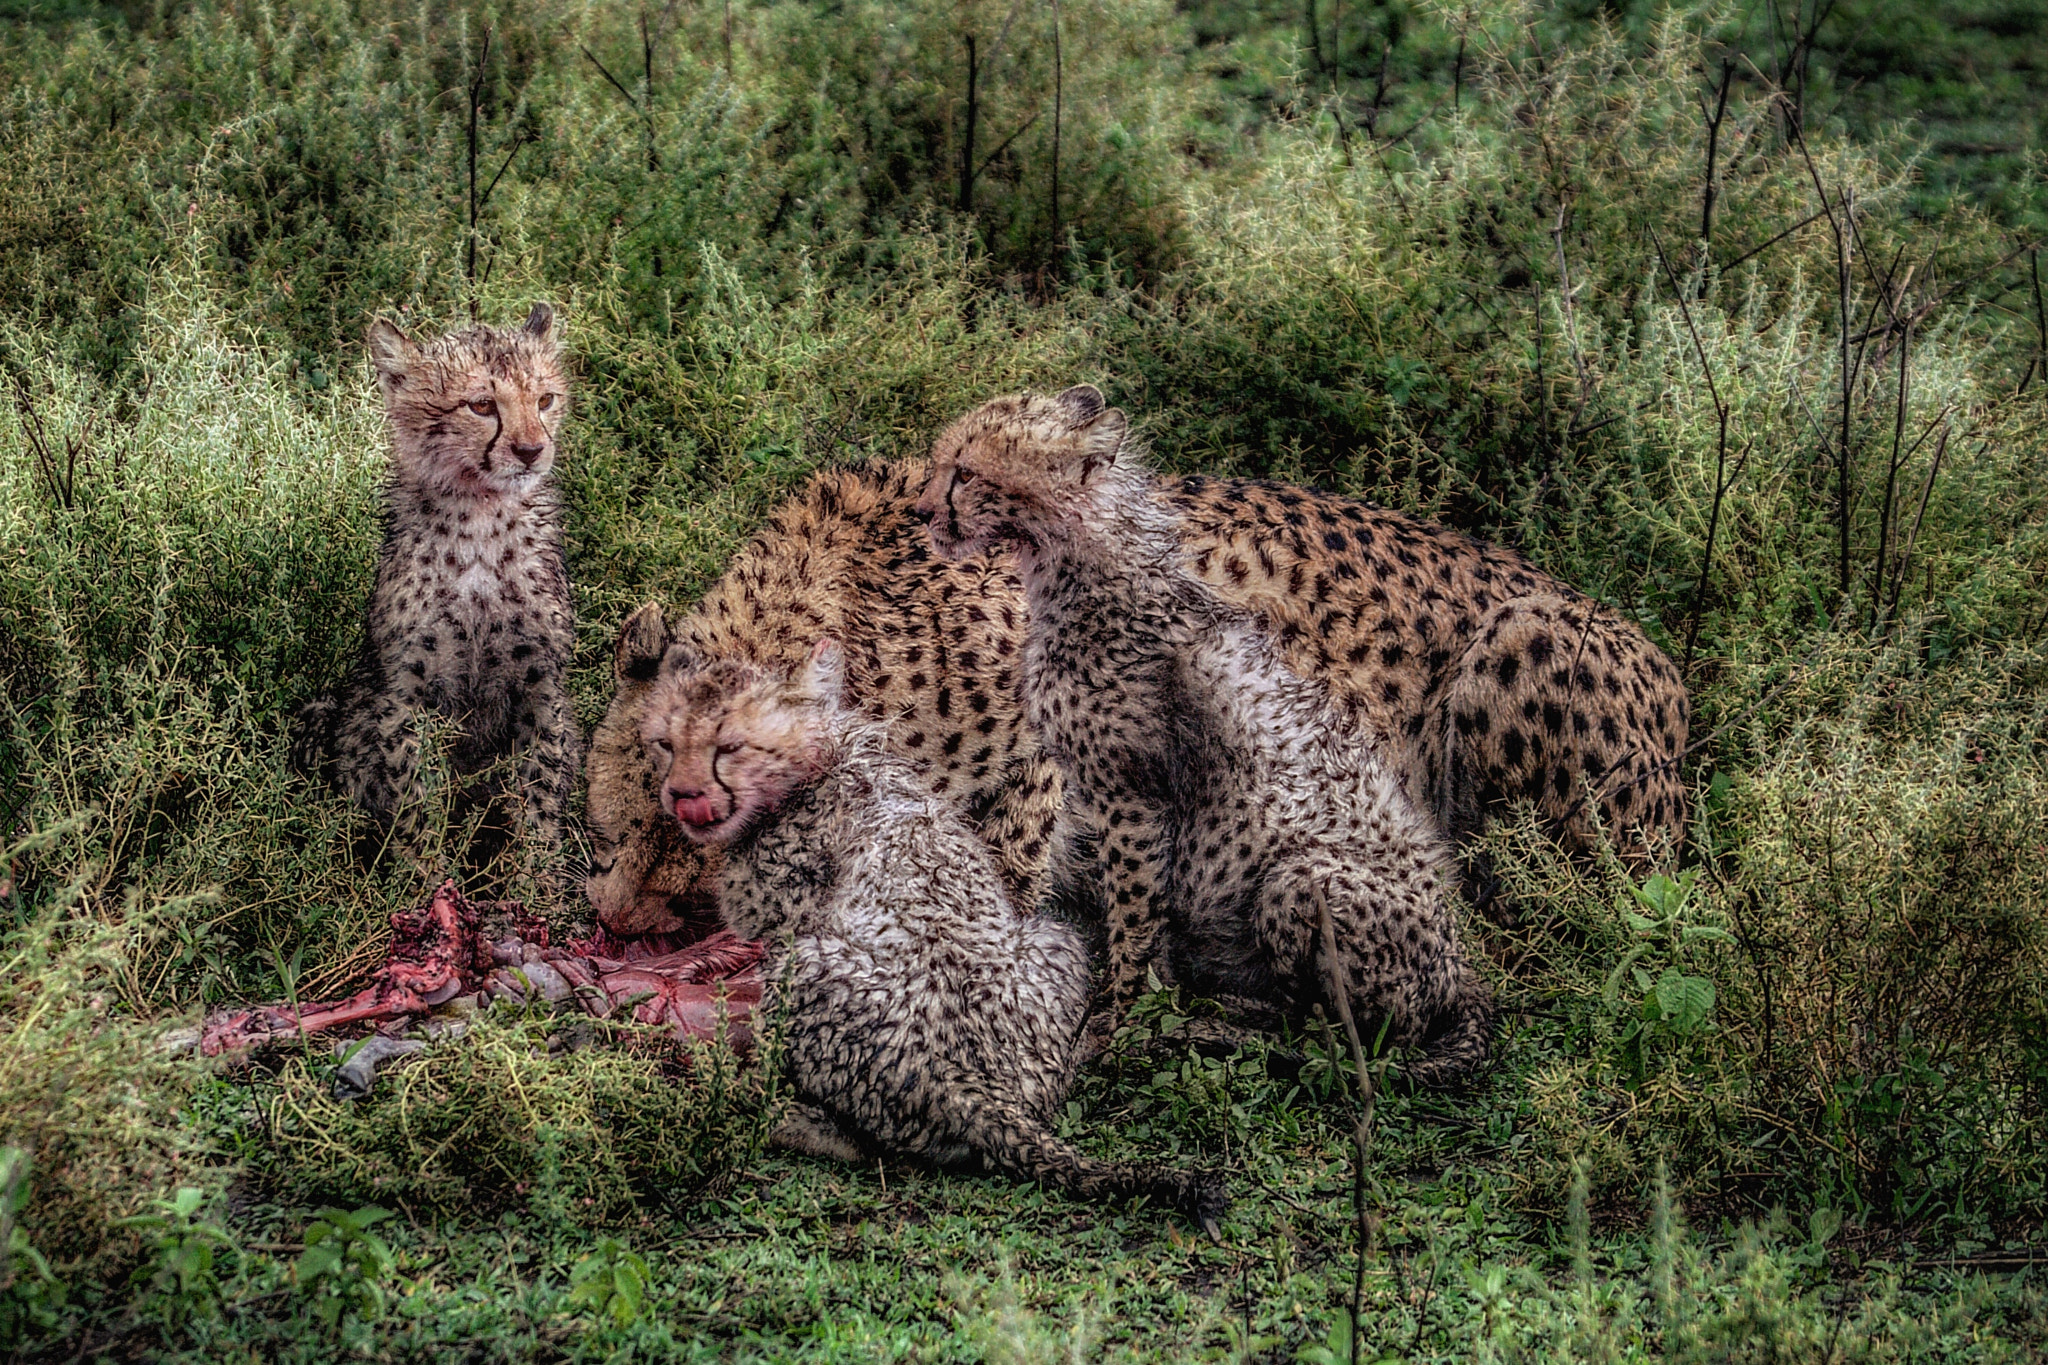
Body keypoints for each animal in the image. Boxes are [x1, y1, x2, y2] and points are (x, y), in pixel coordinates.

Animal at [288, 306, 581, 888]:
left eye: (545, 400)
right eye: (481, 405)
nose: (531, 451)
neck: (482, 518)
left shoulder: (542, 687)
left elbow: (538, 791)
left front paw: (537, 886)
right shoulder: (407, 692)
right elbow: (415, 795)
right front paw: (424, 884)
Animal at [634, 634, 1228, 1236]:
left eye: (729, 746)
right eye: (664, 742)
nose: (682, 795)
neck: (823, 759)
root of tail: (974, 1087)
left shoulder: (782, 911)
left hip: (801, 969)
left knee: (864, 1146)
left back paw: (766, 1105)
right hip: (1052, 939)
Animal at [921, 386, 1499, 1080]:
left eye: (965, 473)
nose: (923, 513)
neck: (1082, 566)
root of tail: (1458, 968)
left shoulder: (1131, 800)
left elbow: (1134, 920)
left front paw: (1115, 1026)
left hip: (1300, 882)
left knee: (1352, 1035)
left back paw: (1227, 1024)